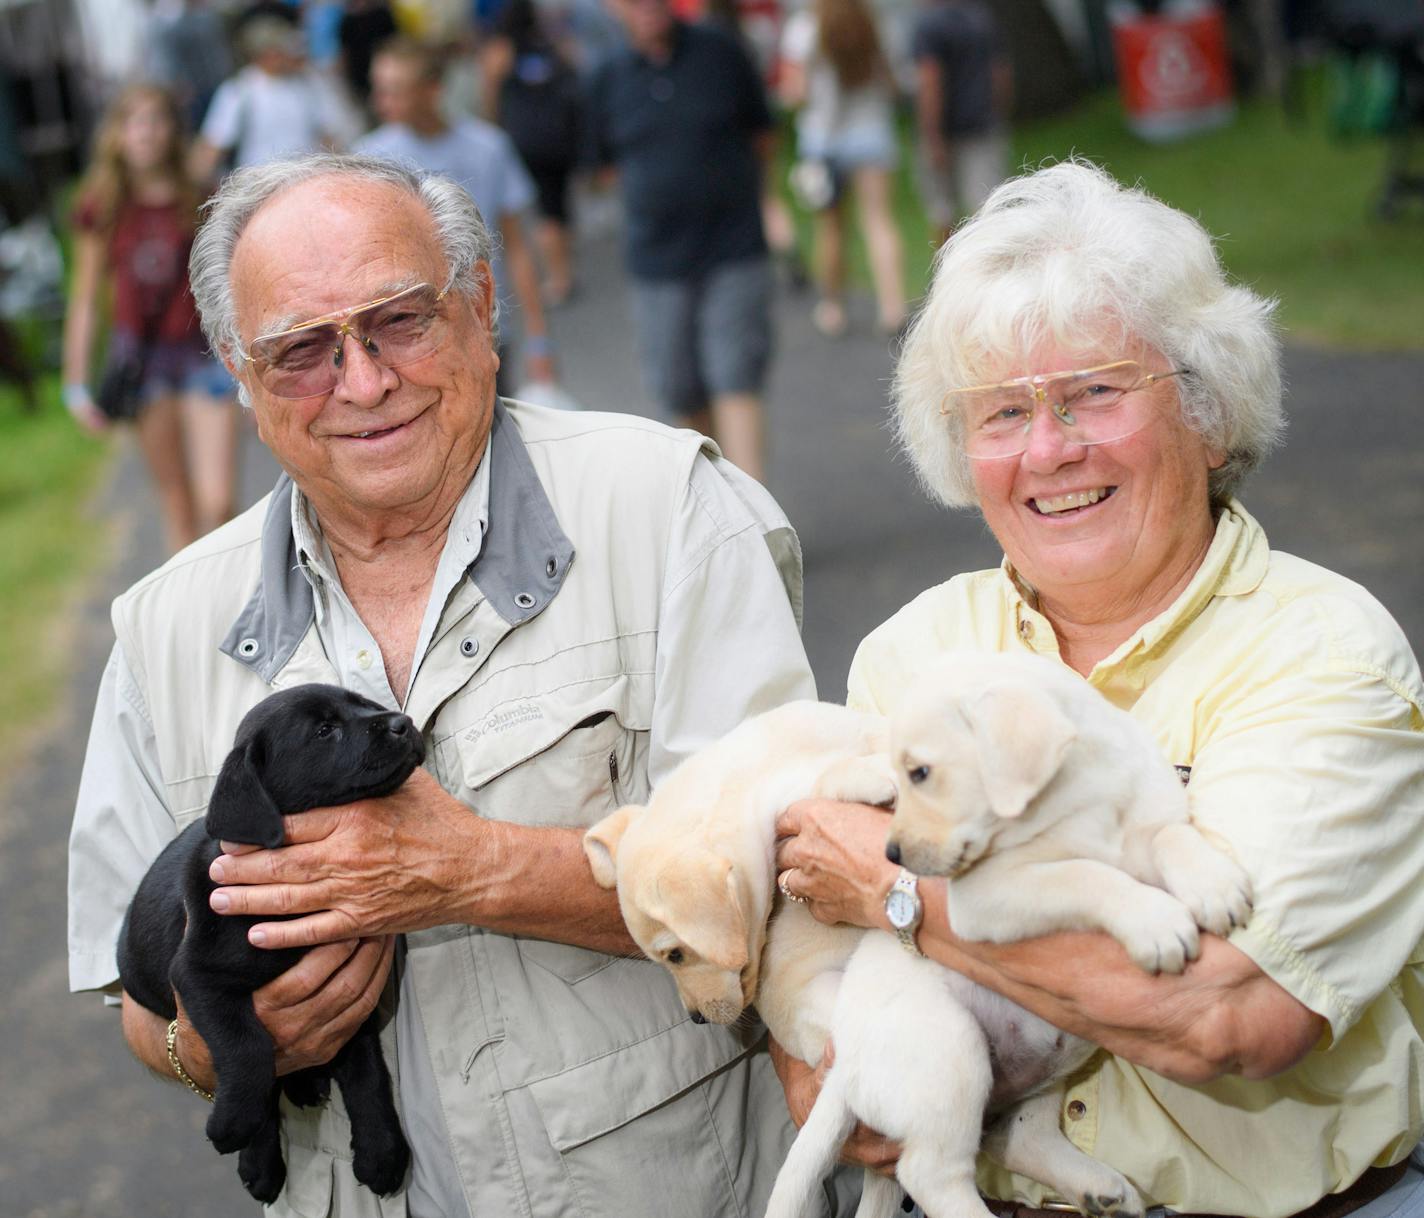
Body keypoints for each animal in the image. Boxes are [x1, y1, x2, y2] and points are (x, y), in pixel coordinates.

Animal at [118, 680, 418, 1202]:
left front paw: (382, 1150)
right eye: (324, 730)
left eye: (363, 704)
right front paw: (238, 1128)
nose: (404, 723)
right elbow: (249, 1050)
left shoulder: (352, 998)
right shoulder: (199, 978)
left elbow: (367, 1070)